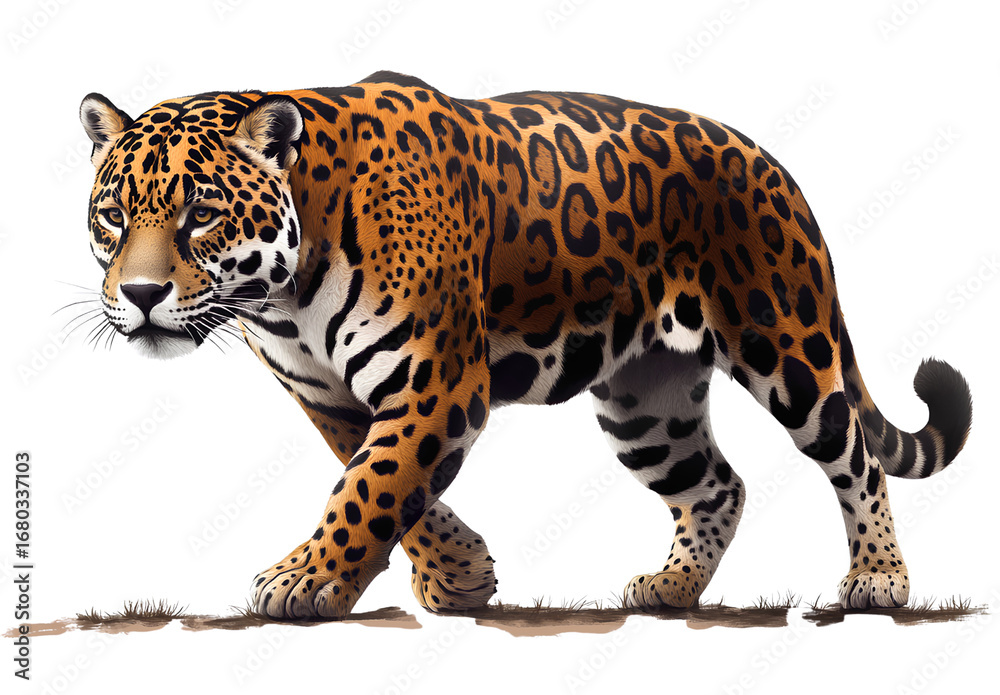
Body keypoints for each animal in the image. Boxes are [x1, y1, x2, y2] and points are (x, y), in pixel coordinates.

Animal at [78, 70, 972, 619]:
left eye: (201, 213)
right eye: (114, 215)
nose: (142, 295)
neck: (283, 295)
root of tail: (772, 162)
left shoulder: (436, 380)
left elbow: (369, 487)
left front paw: (306, 578)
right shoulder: (330, 395)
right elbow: (390, 486)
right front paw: (462, 575)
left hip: (785, 345)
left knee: (855, 457)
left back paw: (878, 578)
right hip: (647, 403)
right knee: (718, 484)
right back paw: (671, 586)